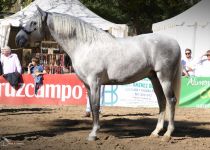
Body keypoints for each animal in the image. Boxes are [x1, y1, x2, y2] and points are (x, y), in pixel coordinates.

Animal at [15, 6, 181, 142]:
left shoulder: (95, 82)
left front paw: (93, 134)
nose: (18, 39)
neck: (85, 45)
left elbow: (95, 106)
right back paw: (156, 132)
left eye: (33, 23)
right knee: (162, 101)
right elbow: (91, 105)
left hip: (164, 77)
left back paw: (167, 134)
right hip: (154, 78)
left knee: (171, 100)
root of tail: (174, 42)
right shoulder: (87, 85)